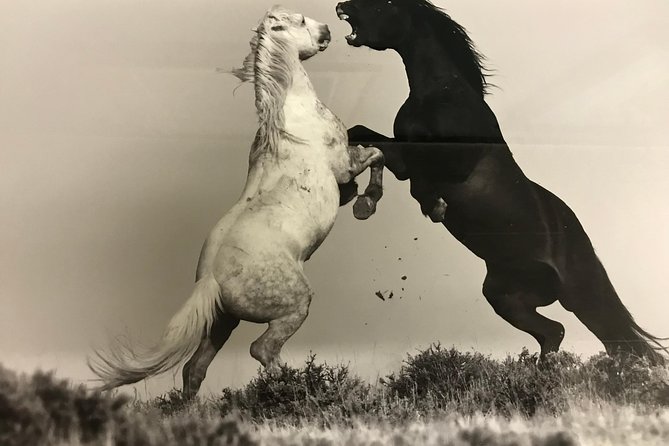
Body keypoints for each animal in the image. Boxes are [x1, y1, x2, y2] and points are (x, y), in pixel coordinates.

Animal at [89, 6, 384, 398]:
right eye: (300, 21)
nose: (327, 31)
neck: (291, 118)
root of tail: (211, 279)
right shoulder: (344, 166)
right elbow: (376, 155)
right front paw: (367, 203)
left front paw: (360, 200)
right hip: (293, 305)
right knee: (262, 349)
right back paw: (297, 387)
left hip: (221, 322)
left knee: (194, 369)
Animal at [335, 0, 668, 364]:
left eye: (386, 5)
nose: (342, 6)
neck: (441, 94)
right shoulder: (405, 158)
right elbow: (364, 137)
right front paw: (355, 194)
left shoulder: (448, 162)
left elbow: (407, 170)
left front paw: (425, 206)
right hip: (506, 294)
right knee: (558, 333)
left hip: (581, 295)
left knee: (615, 341)